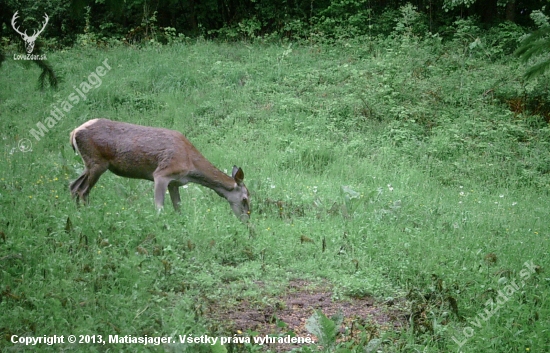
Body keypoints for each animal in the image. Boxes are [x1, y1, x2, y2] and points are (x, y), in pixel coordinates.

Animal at [69, 119, 252, 223]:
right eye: (245, 199)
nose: (247, 220)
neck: (190, 164)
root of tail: (73, 132)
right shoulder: (161, 174)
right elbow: (159, 208)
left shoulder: (175, 183)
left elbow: (178, 208)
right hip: (97, 163)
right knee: (83, 190)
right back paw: (88, 215)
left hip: (89, 165)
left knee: (73, 186)